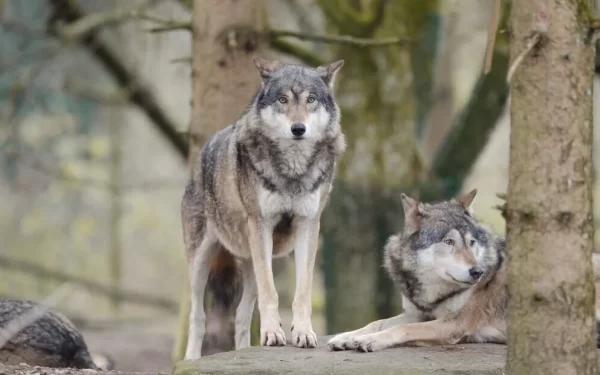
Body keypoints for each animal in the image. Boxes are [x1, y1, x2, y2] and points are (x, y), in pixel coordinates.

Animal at [180, 57, 344, 360]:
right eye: (283, 99)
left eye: (311, 99)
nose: (298, 128)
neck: (292, 171)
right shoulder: (261, 224)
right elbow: (271, 295)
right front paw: (272, 334)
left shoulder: (308, 225)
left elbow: (302, 293)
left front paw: (303, 332)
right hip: (201, 263)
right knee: (198, 317)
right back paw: (191, 360)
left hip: (260, 259)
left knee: (242, 317)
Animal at [326, 191, 600, 352]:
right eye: (449, 242)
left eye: (471, 242)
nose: (477, 272)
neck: (432, 293)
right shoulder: (418, 313)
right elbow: (378, 322)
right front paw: (347, 337)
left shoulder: (452, 325)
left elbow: (402, 329)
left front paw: (367, 341)